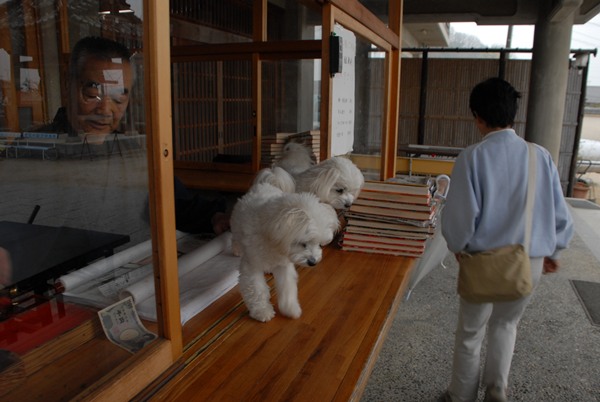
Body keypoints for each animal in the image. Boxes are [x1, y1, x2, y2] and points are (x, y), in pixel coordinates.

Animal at [230, 184, 340, 322]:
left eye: (319, 244)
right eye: (303, 243)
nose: (313, 262)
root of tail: (264, 184)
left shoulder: (283, 265)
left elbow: (287, 288)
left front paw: (290, 309)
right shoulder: (252, 266)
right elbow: (257, 290)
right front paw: (262, 311)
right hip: (236, 224)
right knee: (234, 238)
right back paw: (236, 249)